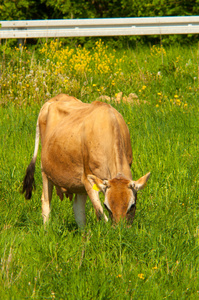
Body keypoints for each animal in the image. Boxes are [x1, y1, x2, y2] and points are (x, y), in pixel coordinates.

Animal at [22, 94, 150, 227]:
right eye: (107, 206)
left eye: (132, 205)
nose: (120, 229)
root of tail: (56, 97)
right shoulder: (88, 179)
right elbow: (100, 214)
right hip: (45, 171)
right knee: (46, 202)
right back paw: (47, 229)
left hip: (77, 183)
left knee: (78, 211)